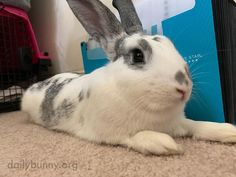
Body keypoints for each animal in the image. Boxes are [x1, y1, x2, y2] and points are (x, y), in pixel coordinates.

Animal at [20, 0, 236, 155]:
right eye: (137, 55)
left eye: (170, 44)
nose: (184, 87)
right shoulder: (108, 133)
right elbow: (134, 136)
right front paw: (164, 143)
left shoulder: (181, 122)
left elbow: (197, 125)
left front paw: (228, 131)